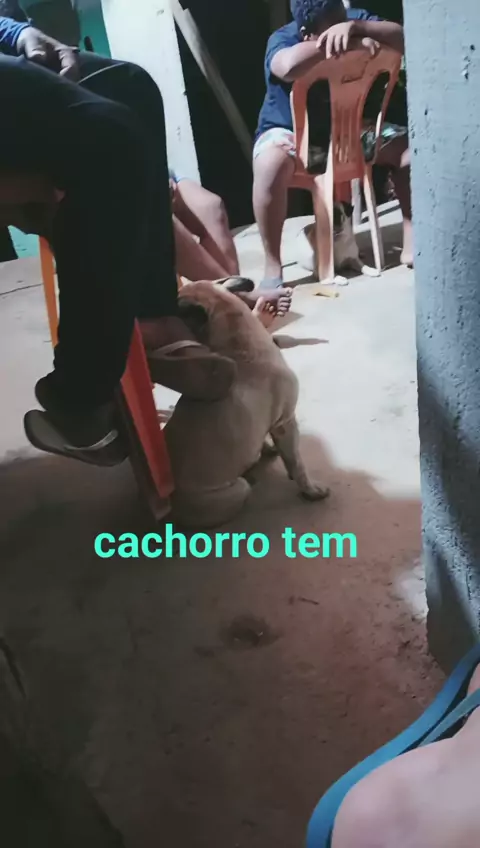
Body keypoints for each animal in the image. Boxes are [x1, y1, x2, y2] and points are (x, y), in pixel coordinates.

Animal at [164, 281, 329, 528]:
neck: (239, 345)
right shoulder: (286, 422)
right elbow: (296, 462)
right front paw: (311, 490)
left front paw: (267, 447)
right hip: (238, 490)